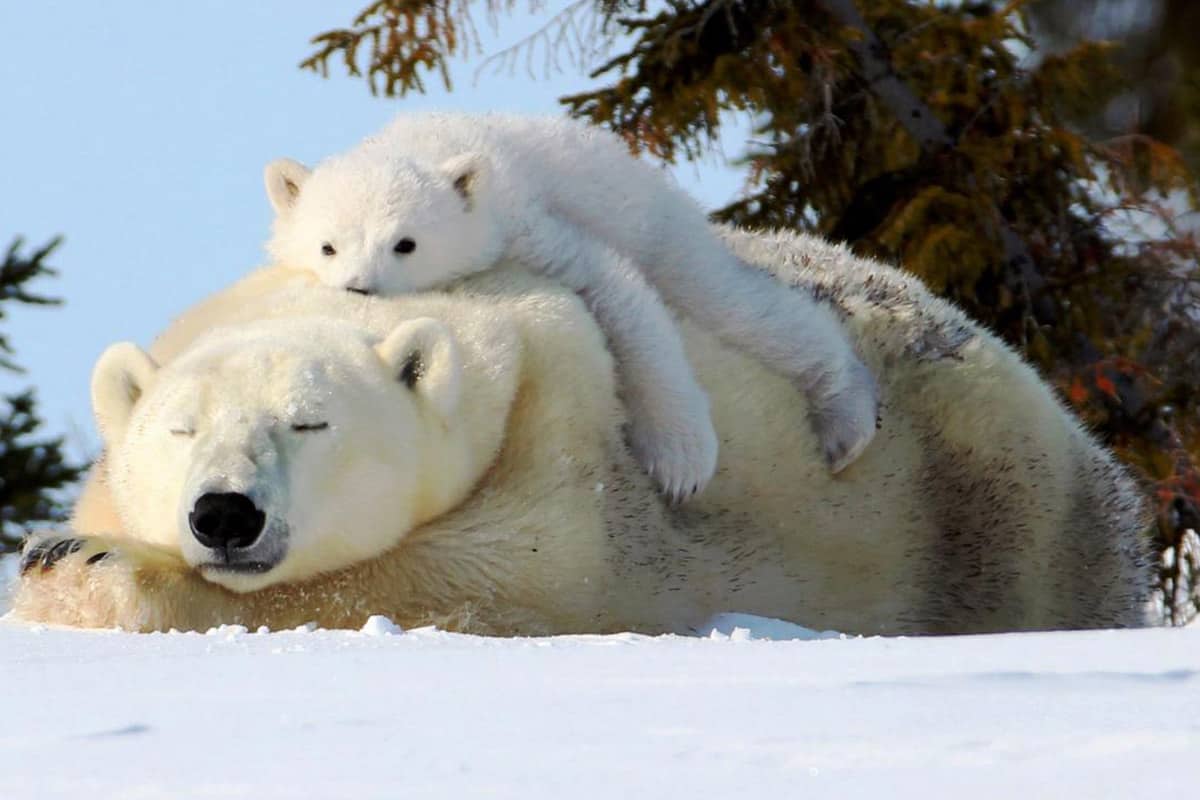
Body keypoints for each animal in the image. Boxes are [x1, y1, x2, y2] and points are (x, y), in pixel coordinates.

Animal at [9, 227, 1152, 633]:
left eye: (309, 421)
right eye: (180, 428)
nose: (224, 514)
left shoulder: (565, 424)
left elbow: (486, 575)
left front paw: (90, 568)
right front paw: (68, 549)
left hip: (993, 495)